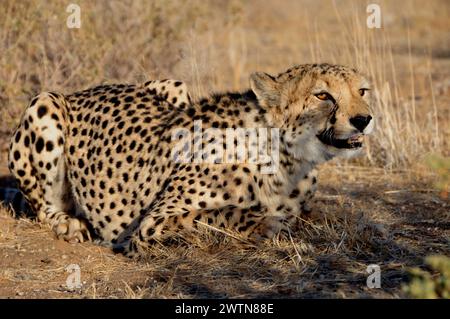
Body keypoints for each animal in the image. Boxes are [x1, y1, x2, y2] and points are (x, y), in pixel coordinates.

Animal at [5, 64, 374, 258]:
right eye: (322, 95)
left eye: (362, 91)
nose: (364, 119)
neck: (288, 161)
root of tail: (85, 89)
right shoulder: (151, 225)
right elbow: (215, 214)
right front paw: (267, 223)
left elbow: (318, 212)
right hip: (45, 102)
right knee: (44, 206)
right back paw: (67, 224)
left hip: (174, 85)